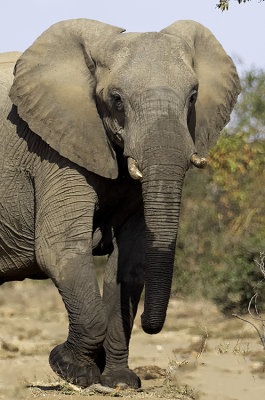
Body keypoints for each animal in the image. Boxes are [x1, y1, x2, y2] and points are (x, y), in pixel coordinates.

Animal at [0, 18, 239, 388]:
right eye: (116, 99)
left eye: (193, 97)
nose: (149, 325)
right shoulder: (53, 151)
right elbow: (60, 249)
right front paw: (69, 367)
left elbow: (130, 259)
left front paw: (120, 381)